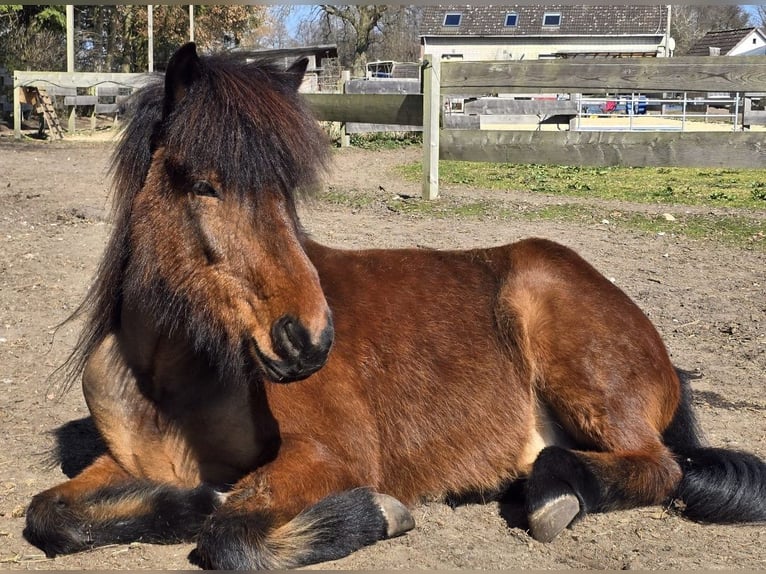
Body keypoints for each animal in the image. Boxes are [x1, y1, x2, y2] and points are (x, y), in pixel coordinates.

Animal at [25, 43, 766, 570]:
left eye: (285, 190)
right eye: (203, 185)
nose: (310, 340)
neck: (173, 377)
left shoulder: (330, 456)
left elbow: (232, 533)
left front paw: (378, 515)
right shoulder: (126, 464)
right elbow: (50, 514)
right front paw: (188, 499)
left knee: (659, 466)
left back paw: (555, 491)